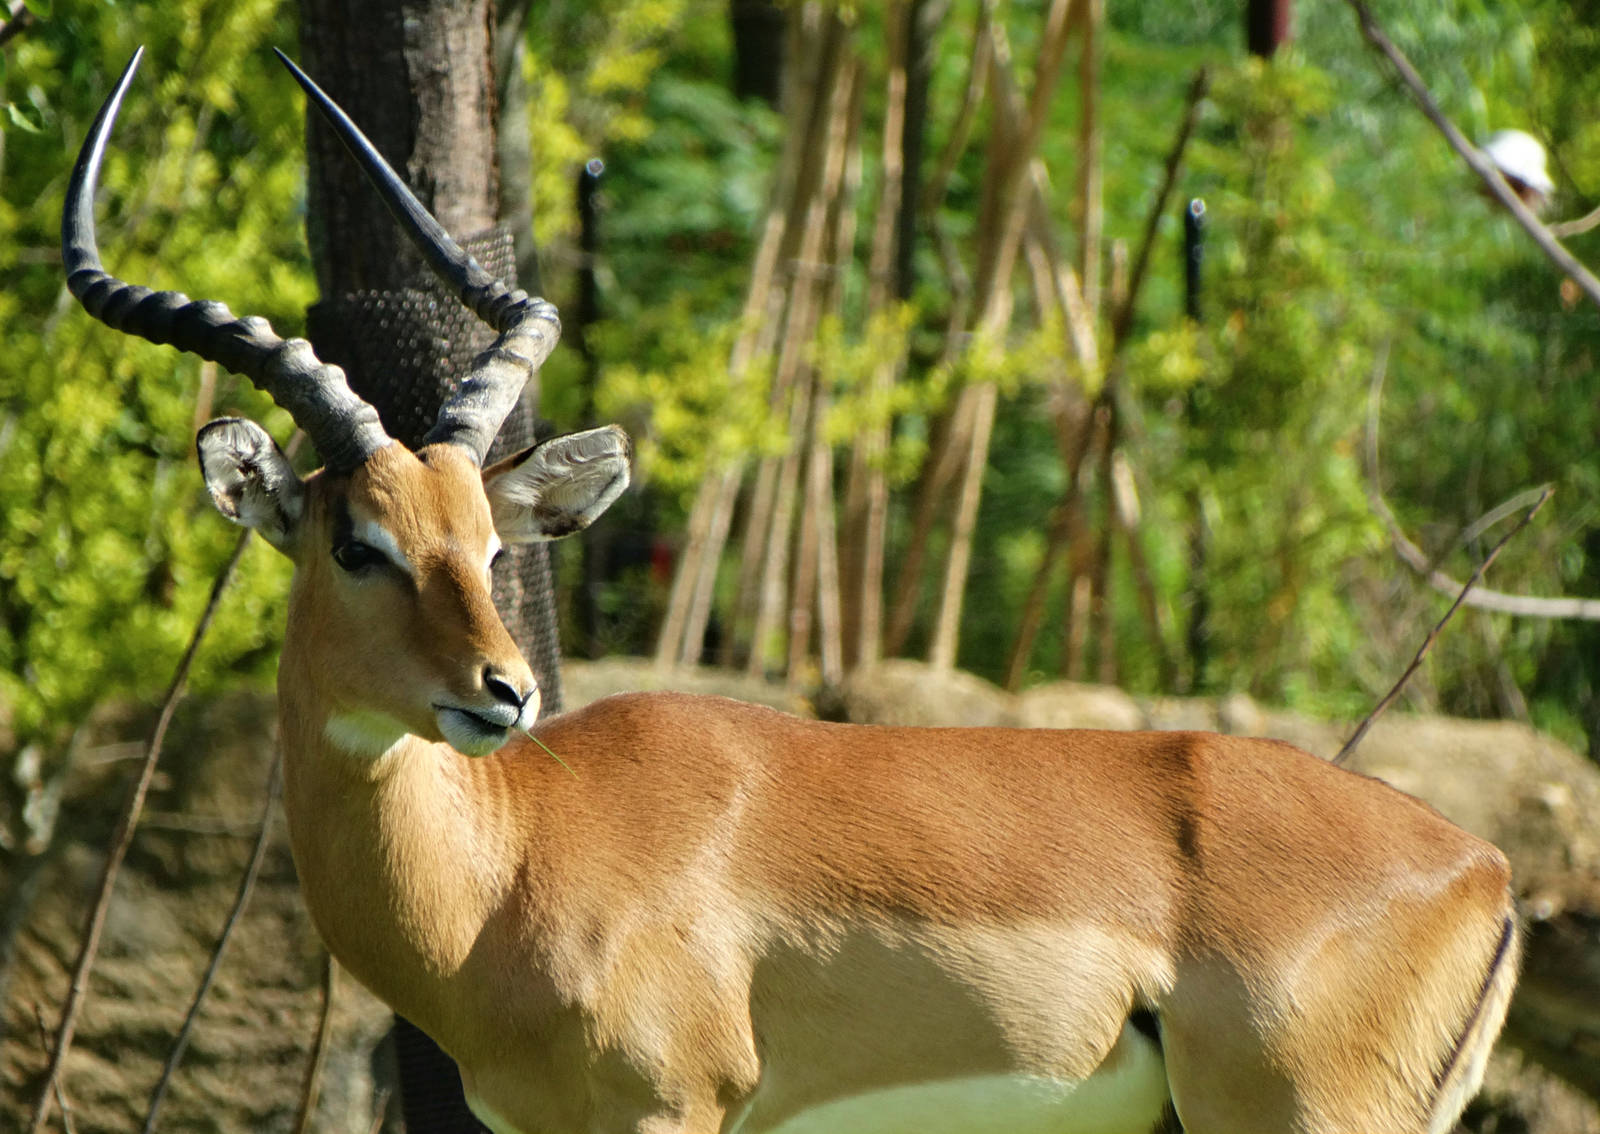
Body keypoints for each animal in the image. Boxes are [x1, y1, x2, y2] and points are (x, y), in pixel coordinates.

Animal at [67, 48, 1520, 1134]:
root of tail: (1486, 867)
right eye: (358, 540)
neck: (517, 856)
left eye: (485, 542)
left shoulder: (670, 1108)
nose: (502, 691)